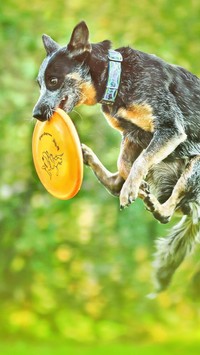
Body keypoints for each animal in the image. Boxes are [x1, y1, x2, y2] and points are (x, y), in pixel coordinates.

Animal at [32, 20, 200, 292]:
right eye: (40, 84)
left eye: (53, 80)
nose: (36, 114)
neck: (117, 79)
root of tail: (193, 207)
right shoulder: (132, 135)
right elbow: (125, 165)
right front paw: (133, 185)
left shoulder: (169, 128)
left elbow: (139, 163)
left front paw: (131, 189)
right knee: (117, 182)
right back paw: (89, 156)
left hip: (195, 168)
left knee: (167, 212)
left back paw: (153, 203)